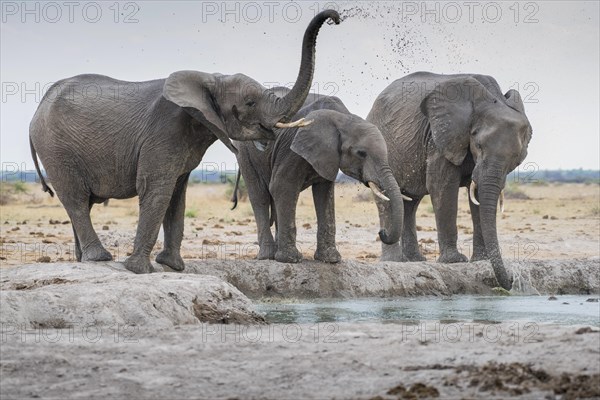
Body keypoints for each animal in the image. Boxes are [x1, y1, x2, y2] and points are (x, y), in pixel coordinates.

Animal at [30, 11, 340, 276]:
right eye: (251, 103)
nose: (335, 18)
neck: (210, 79)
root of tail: (38, 109)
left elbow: (177, 195)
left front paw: (173, 266)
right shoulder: (164, 131)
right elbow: (157, 189)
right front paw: (140, 270)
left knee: (82, 203)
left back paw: (84, 260)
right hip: (56, 148)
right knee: (75, 198)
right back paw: (99, 258)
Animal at [232, 93, 406, 262]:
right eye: (361, 153)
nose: (382, 232)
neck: (344, 118)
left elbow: (324, 194)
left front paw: (331, 259)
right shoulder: (292, 149)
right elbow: (282, 185)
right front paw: (290, 259)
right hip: (245, 153)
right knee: (259, 195)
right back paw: (267, 256)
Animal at [368, 72, 532, 290]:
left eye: (516, 158)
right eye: (479, 145)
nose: (512, 282)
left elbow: (477, 194)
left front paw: (481, 260)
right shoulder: (440, 138)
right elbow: (442, 185)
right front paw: (454, 261)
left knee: (410, 202)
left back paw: (414, 260)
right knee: (388, 197)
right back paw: (395, 261)